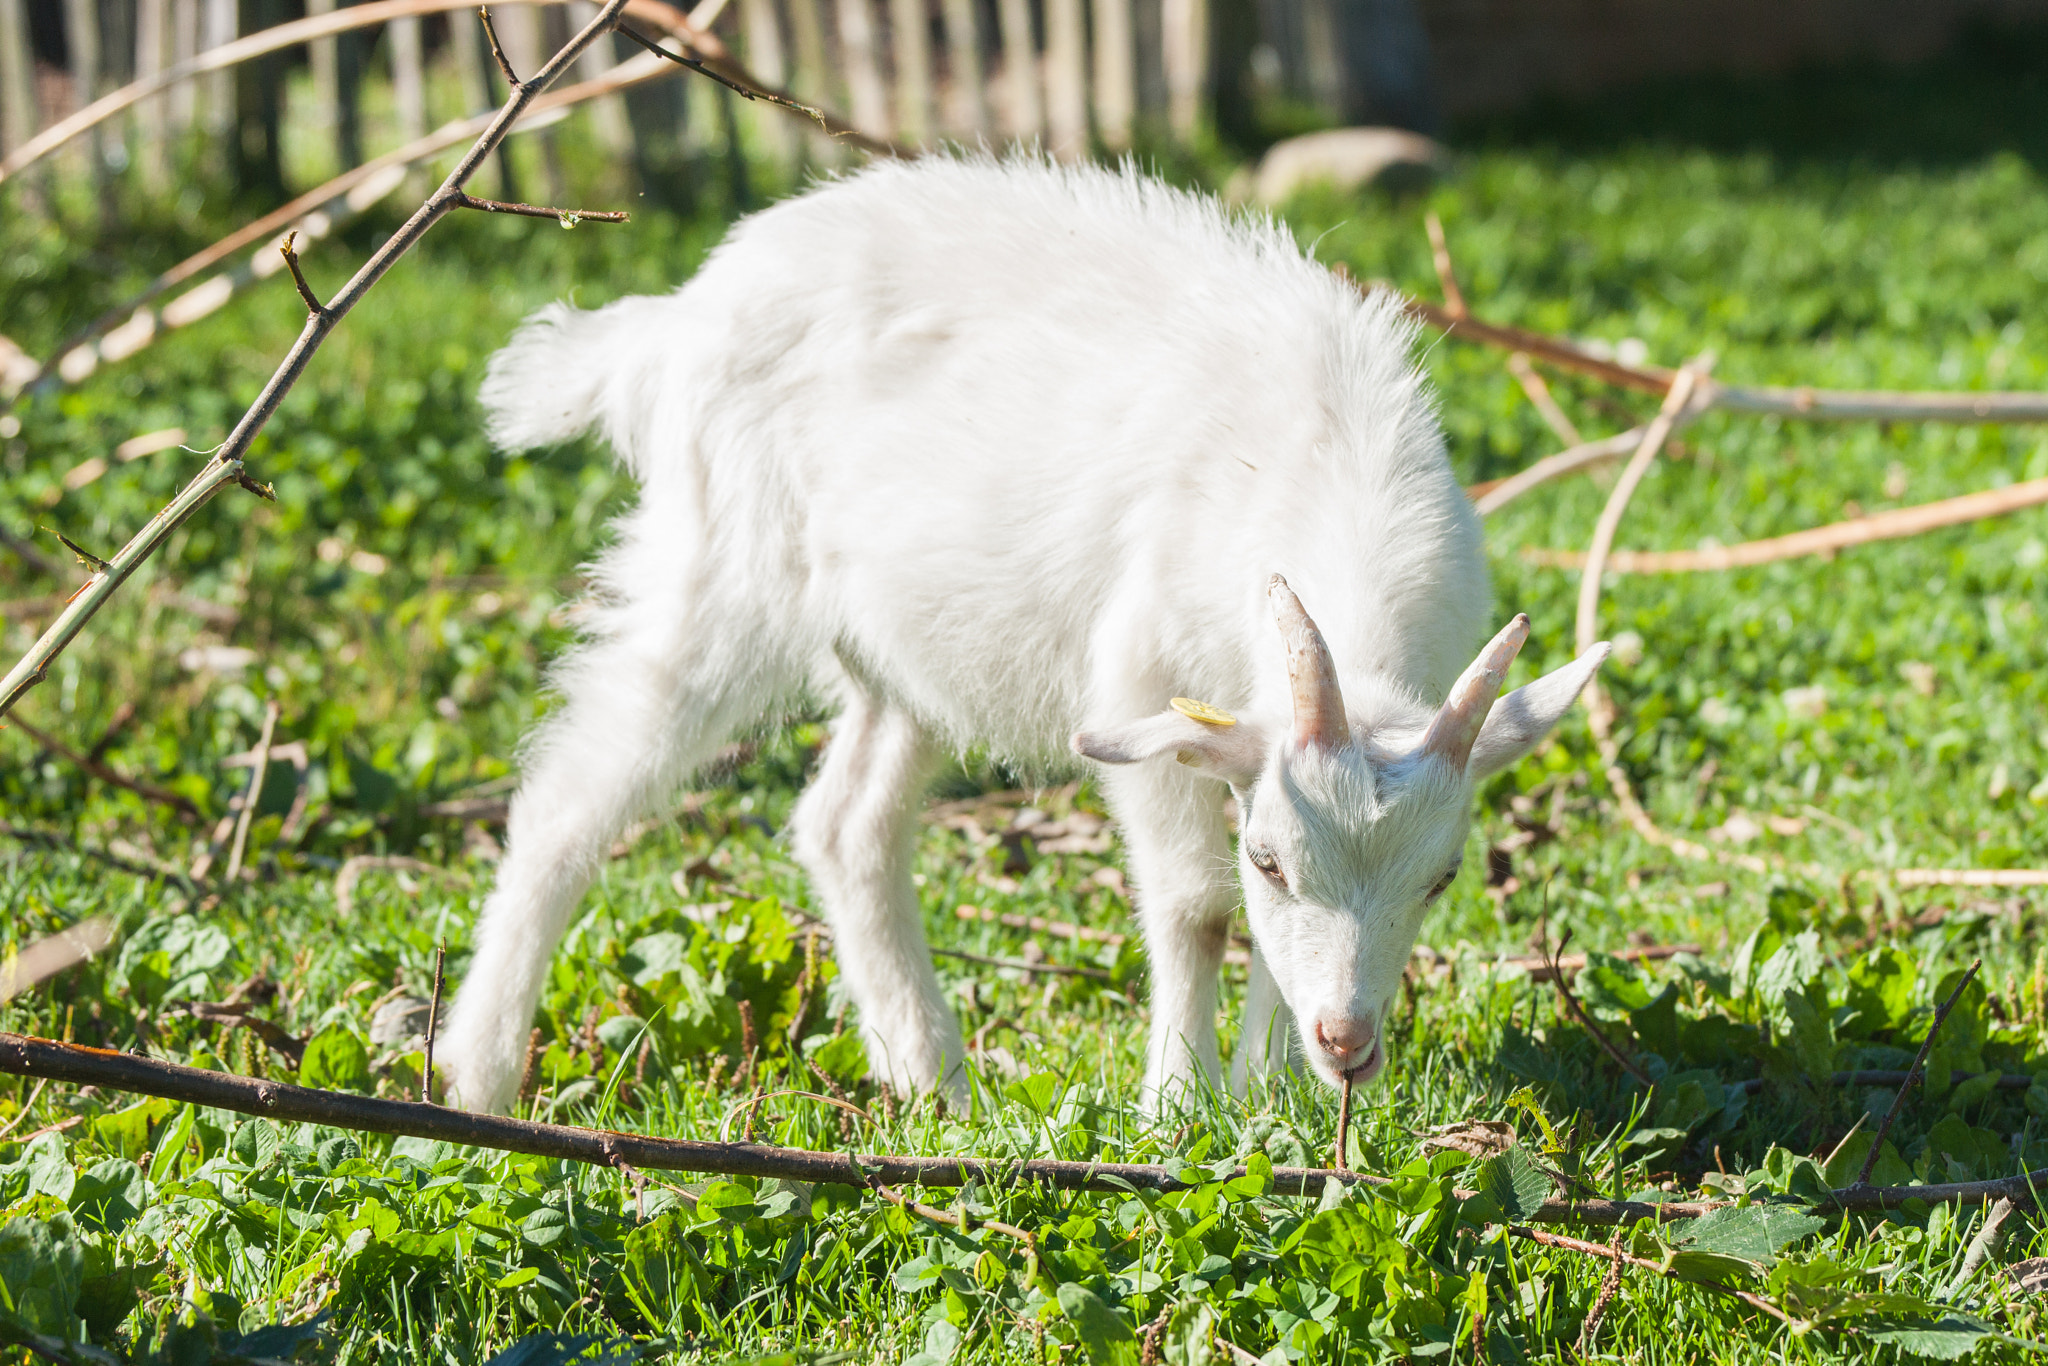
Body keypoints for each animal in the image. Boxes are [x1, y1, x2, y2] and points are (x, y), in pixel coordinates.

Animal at [440, 154, 1605, 1114]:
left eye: (1440, 879)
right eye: (1268, 860)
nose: (1348, 1043)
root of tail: (670, 322)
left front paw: (1273, 1099)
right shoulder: (1141, 690)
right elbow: (1194, 908)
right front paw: (1179, 1105)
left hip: (904, 648)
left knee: (846, 820)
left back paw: (931, 1080)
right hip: (723, 565)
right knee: (571, 792)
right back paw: (477, 1074)